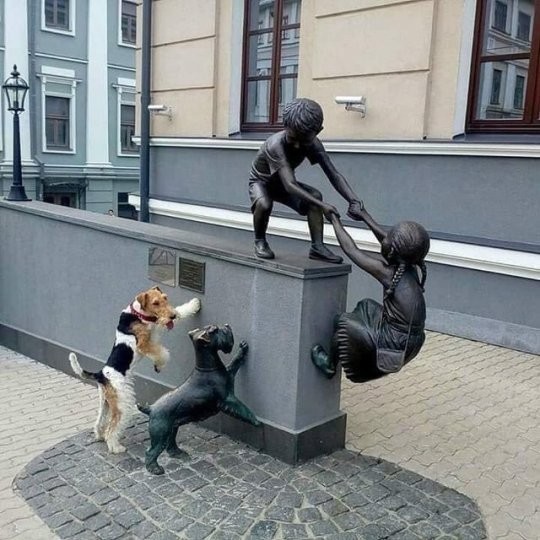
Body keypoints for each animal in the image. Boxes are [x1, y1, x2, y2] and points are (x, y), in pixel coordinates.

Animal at [69, 288, 200, 454]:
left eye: (165, 298)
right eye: (155, 303)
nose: (172, 316)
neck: (137, 313)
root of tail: (101, 375)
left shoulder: (155, 327)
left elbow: (180, 311)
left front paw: (194, 304)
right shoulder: (144, 343)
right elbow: (161, 353)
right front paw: (159, 365)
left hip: (106, 402)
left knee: (100, 422)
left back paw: (99, 435)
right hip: (122, 402)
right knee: (112, 429)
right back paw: (116, 447)